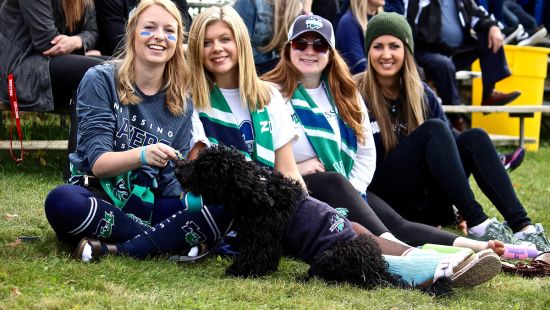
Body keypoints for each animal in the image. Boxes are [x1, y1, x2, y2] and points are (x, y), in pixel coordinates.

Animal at [177, 145, 396, 288]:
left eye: (204, 171)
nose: (178, 167)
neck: (260, 192)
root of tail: (378, 272)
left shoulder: (263, 240)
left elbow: (256, 258)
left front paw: (238, 271)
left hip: (330, 255)